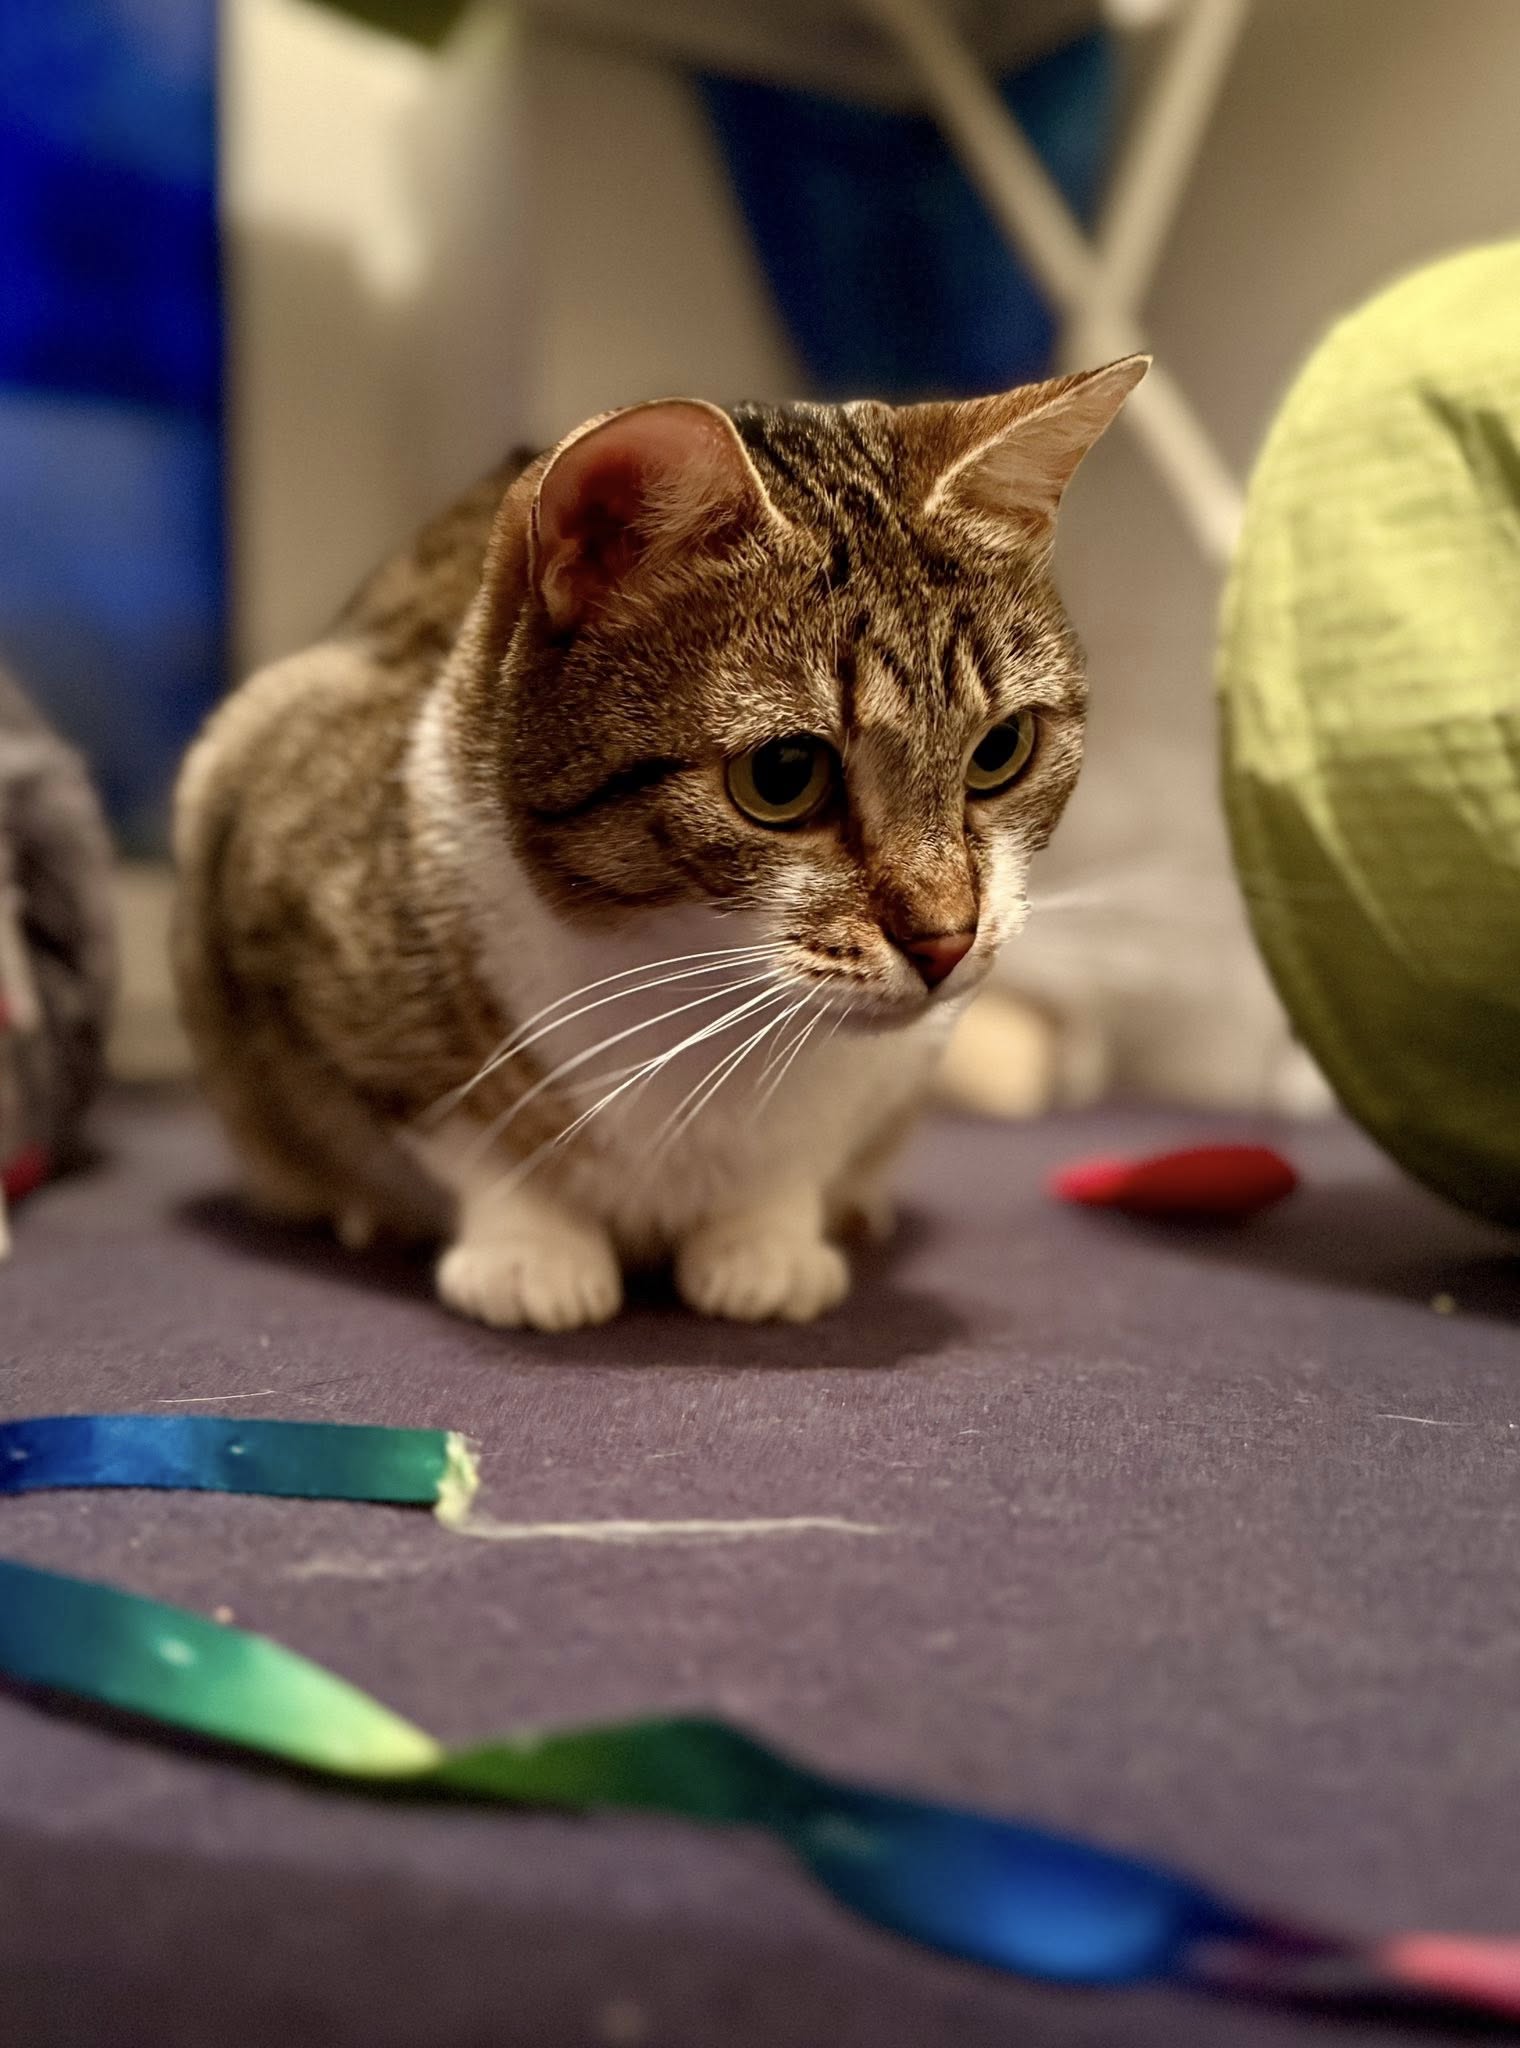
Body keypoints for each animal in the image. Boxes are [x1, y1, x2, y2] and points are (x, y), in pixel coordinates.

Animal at [173, 358, 1145, 1330]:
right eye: (784, 774)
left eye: (1001, 749)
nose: (946, 941)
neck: (697, 991)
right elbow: (470, 1134)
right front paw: (531, 1251)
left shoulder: (898, 1063)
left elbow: (796, 1162)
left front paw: (766, 1244)